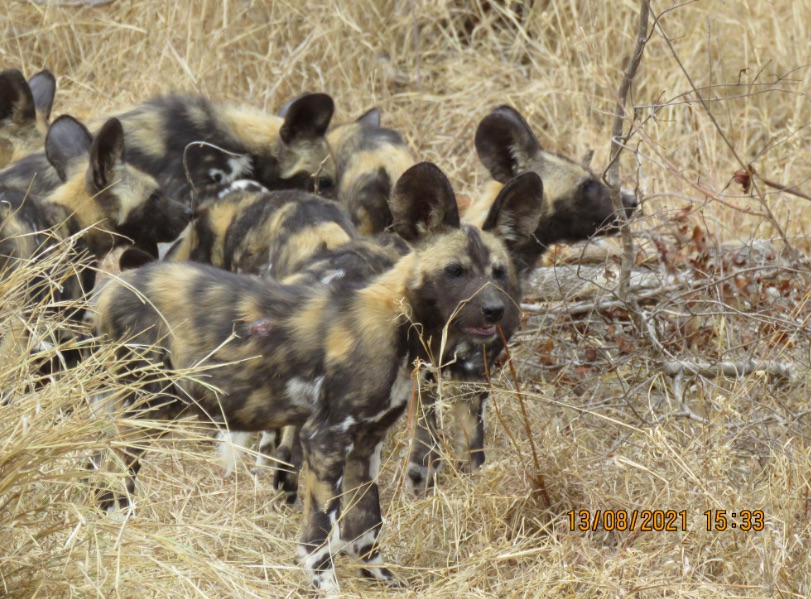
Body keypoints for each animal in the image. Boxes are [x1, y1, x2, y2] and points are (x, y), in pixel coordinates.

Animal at [92, 162, 544, 592]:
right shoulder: (325, 438)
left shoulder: (365, 444)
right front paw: (325, 586)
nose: (494, 311)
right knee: (115, 477)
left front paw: (380, 579)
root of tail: (113, 287)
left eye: (499, 272)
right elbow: (320, 536)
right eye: (455, 271)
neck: (398, 325)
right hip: (147, 408)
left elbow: (366, 525)